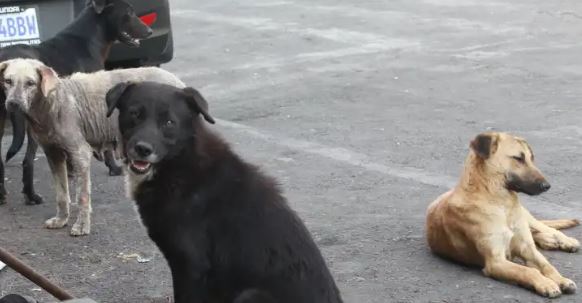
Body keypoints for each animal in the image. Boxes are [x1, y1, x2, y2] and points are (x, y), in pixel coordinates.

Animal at [0, 0, 153, 207]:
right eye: (128, 12)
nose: (150, 31)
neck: (87, 41)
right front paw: (113, 167)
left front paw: (71, 171)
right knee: (27, 160)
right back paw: (31, 196)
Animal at [105, 81, 344, 303]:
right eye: (134, 114)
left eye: (169, 122)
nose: (142, 149)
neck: (180, 162)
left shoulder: (190, 265)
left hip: (250, 295)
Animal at [426, 133, 580, 300]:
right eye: (518, 158)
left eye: (532, 158)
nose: (547, 186)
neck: (501, 204)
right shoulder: (496, 261)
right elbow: (528, 270)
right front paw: (546, 283)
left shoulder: (527, 248)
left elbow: (547, 265)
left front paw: (561, 280)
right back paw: (549, 242)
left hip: (528, 218)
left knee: (549, 229)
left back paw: (566, 241)